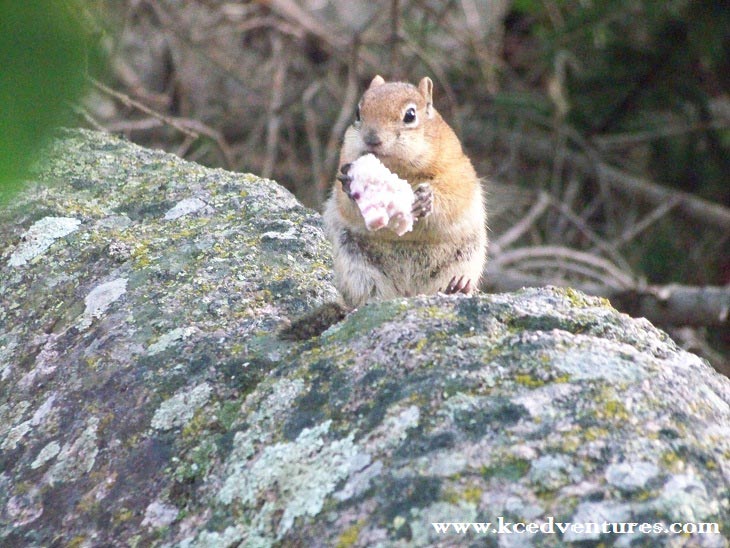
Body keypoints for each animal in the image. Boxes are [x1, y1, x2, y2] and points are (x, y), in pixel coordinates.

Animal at [282, 73, 486, 338]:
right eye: (358, 112)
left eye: (410, 115)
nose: (371, 139)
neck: (398, 170)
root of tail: (408, 293)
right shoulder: (344, 162)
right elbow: (345, 202)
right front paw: (350, 187)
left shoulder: (456, 171)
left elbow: (452, 196)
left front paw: (427, 200)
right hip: (356, 267)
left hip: (464, 260)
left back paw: (457, 288)